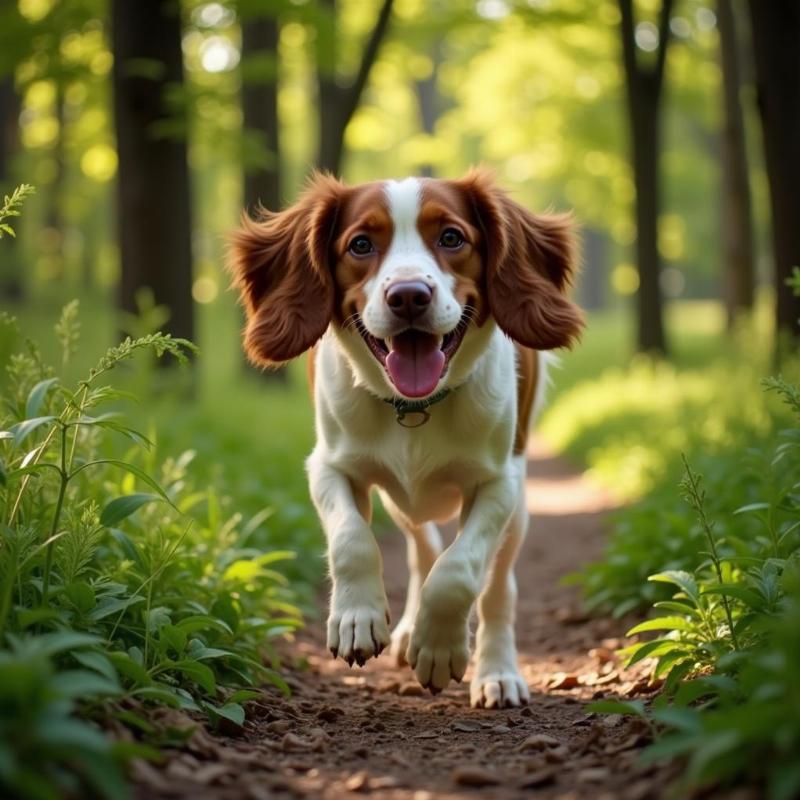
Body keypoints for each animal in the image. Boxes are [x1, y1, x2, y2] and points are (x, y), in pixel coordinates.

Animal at [228, 169, 584, 708]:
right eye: (360, 244)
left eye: (452, 237)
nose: (409, 295)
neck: (415, 408)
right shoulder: (329, 466)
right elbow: (352, 540)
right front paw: (357, 619)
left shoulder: (501, 482)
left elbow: (459, 571)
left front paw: (439, 648)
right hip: (400, 500)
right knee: (422, 546)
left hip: (519, 509)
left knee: (497, 587)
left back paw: (496, 671)